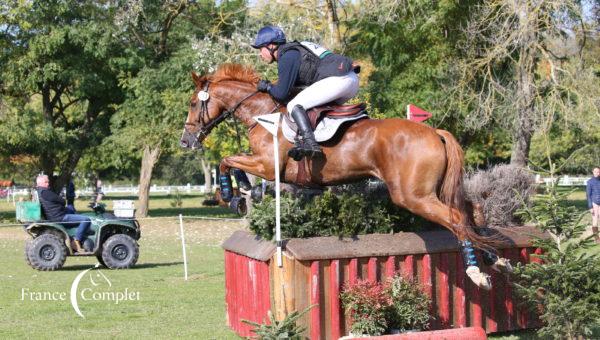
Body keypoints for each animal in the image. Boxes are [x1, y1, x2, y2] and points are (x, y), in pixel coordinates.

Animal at [180, 63, 508, 286]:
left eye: (194, 103)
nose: (186, 141)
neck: (262, 113)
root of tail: (435, 132)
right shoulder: (264, 166)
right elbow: (230, 163)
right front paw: (247, 193)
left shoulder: (266, 165)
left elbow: (226, 161)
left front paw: (233, 196)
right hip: (433, 190)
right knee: (472, 209)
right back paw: (495, 258)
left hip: (413, 196)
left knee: (456, 218)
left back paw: (476, 271)